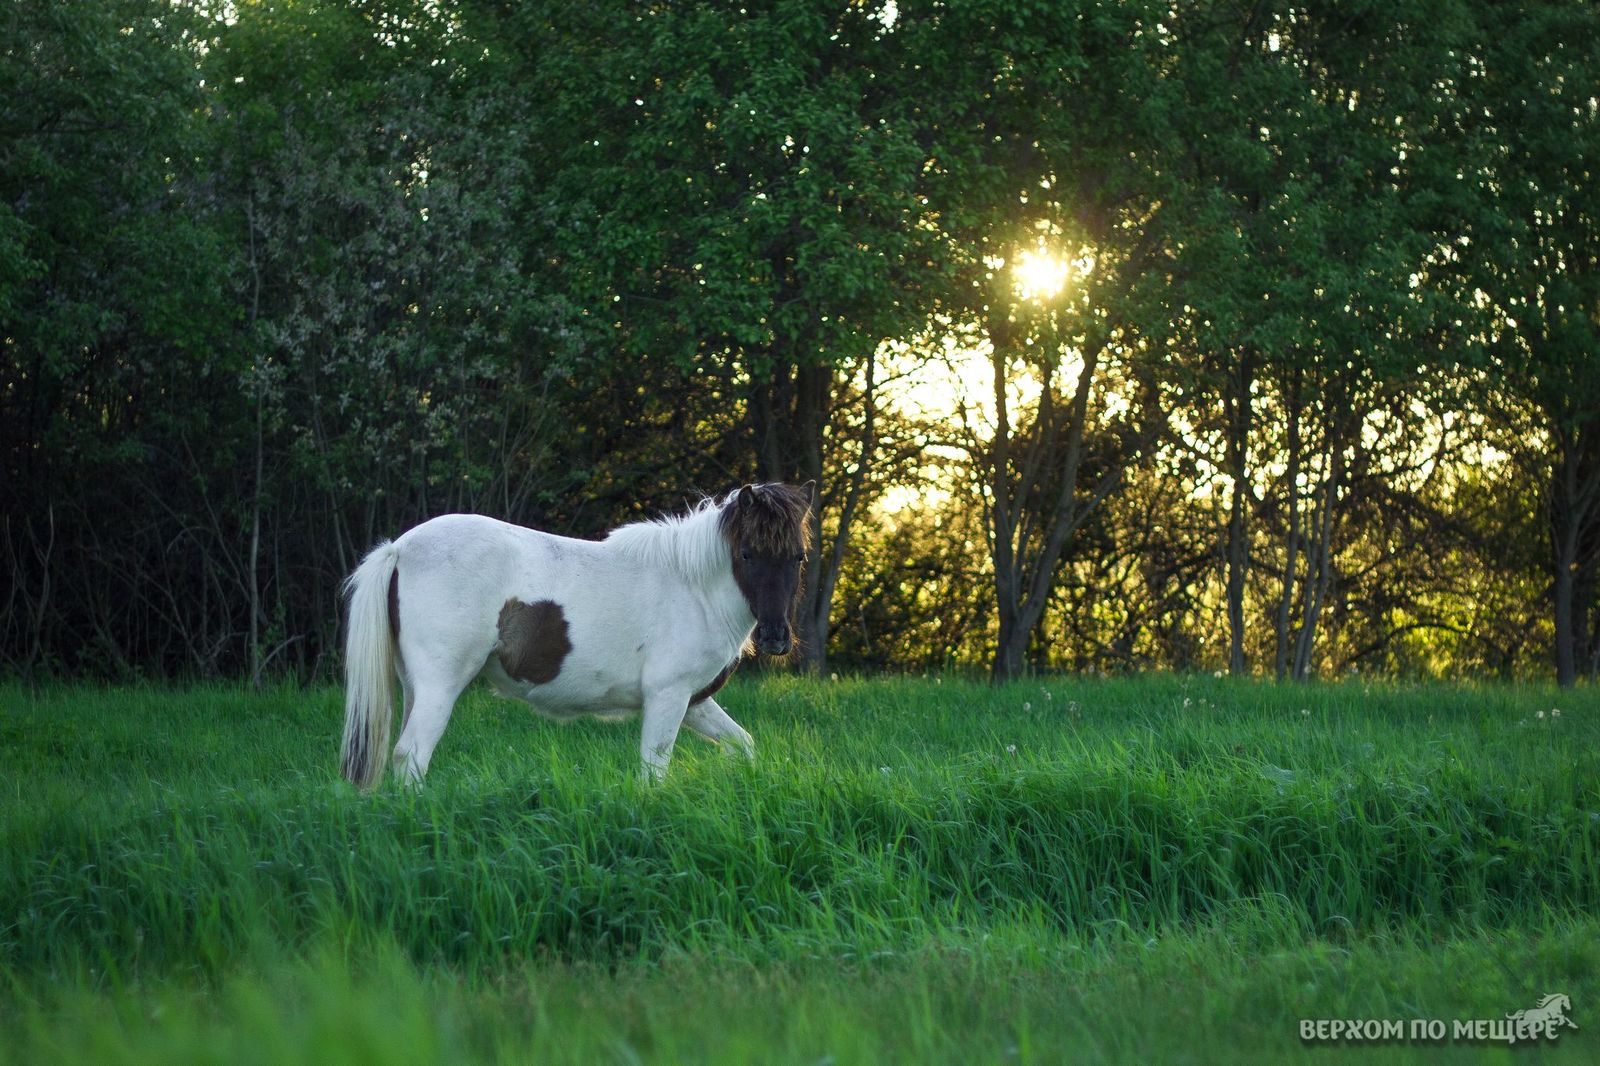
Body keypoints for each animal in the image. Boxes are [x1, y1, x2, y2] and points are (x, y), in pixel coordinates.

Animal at [339, 476, 812, 784]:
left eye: (798, 556)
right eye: (747, 554)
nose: (775, 638)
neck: (693, 587)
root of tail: (400, 548)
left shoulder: (694, 702)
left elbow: (743, 745)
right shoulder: (668, 696)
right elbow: (653, 771)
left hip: (414, 688)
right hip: (441, 685)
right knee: (411, 756)